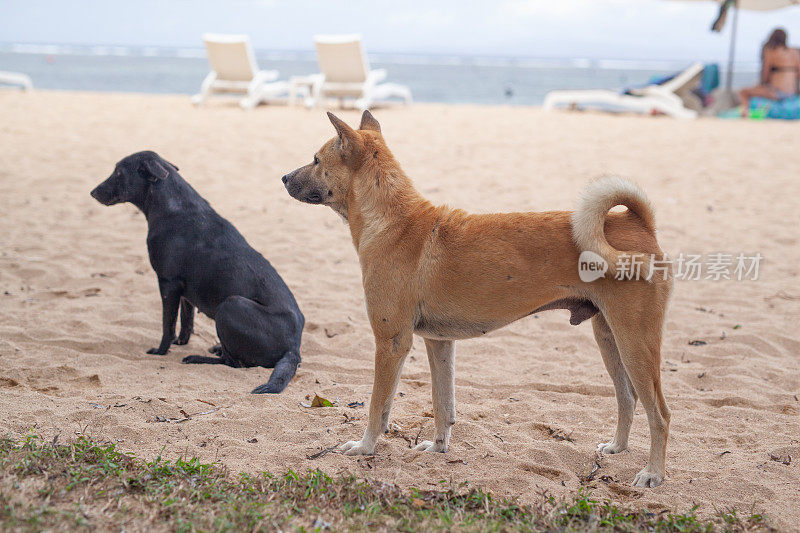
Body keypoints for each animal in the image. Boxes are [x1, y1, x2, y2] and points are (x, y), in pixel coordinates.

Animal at [90, 150, 304, 390]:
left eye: (119, 172)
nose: (92, 192)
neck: (171, 205)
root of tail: (293, 349)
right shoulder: (184, 290)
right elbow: (186, 320)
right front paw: (181, 342)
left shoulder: (168, 283)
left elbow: (167, 324)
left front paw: (161, 351)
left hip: (230, 305)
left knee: (233, 363)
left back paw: (198, 358)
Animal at [284, 111, 672, 486]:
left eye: (316, 160)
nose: (284, 177)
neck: (393, 221)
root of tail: (638, 222)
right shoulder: (439, 343)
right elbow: (443, 406)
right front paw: (438, 449)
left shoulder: (391, 343)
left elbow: (378, 408)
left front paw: (364, 448)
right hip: (609, 337)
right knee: (627, 397)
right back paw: (617, 448)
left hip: (635, 342)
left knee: (660, 414)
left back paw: (653, 473)